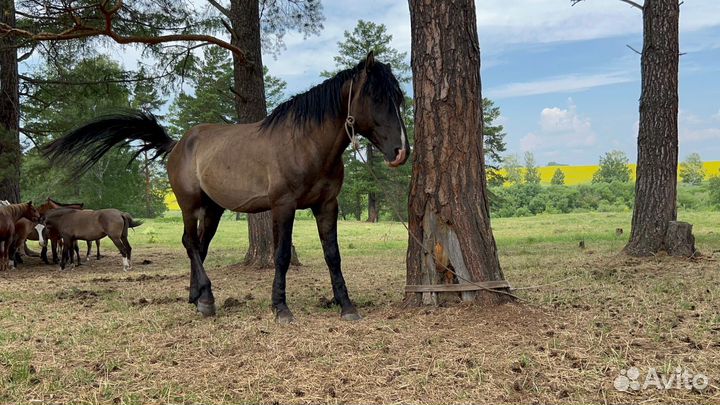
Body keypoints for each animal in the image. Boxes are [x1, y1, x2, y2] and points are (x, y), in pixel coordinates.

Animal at [44, 52, 409, 322]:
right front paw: (281, 308)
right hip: (190, 205)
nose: (401, 151)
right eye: (376, 97)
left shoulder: (327, 205)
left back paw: (197, 296)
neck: (304, 143)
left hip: (214, 210)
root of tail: (179, 144)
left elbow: (332, 254)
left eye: (400, 98)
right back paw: (206, 299)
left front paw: (346, 305)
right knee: (190, 243)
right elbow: (280, 255)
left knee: (199, 247)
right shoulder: (284, 205)